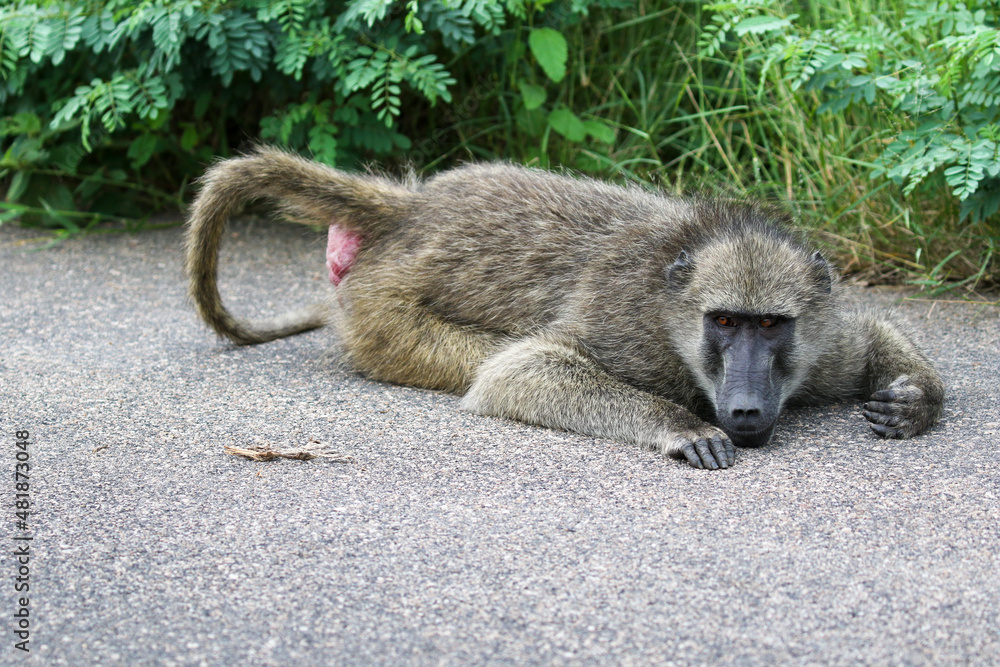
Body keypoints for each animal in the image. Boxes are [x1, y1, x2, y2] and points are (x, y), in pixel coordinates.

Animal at [185, 147, 944, 469]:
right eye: (724, 322)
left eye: (770, 325)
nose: (749, 408)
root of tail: (413, 207)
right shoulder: (629, 335)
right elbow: (519, 371)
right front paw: (681, 426)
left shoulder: (813, 348)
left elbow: (864, 333)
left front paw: (915, 399)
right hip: (382, 314)